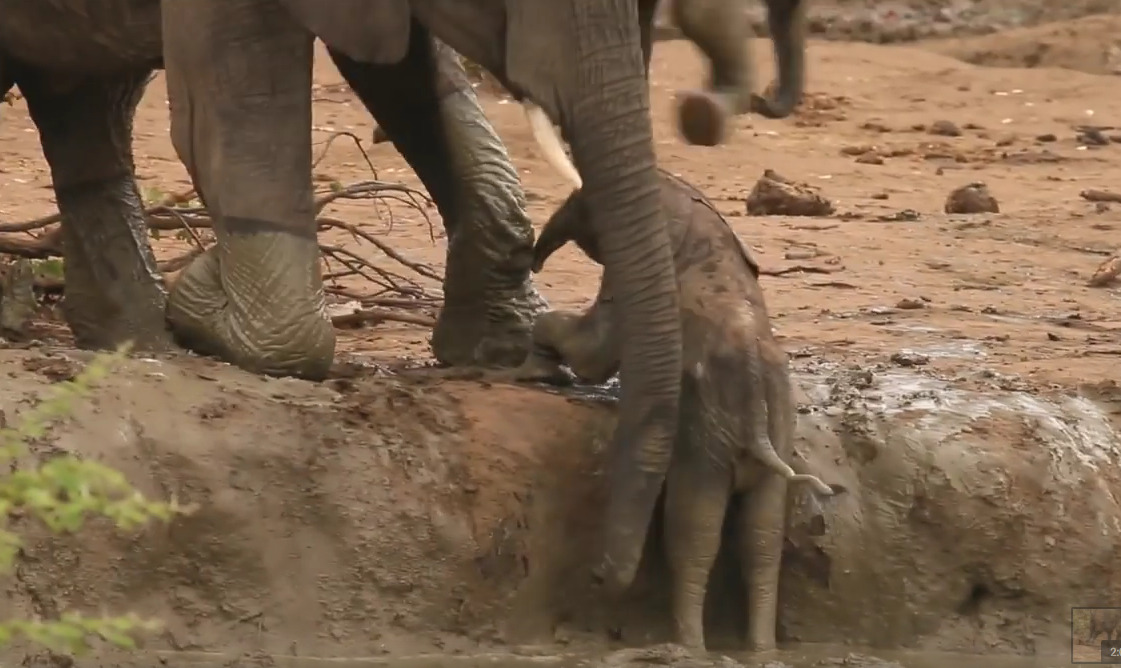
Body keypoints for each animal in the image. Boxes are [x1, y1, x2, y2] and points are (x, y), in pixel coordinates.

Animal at [520, 168, 842, 654]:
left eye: (580, 201)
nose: (534, 260)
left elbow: (595, 352)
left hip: (705, 433)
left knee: (695, 527)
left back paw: (688, 646)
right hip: (777, 428)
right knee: (762, 534)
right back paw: (760, 650)